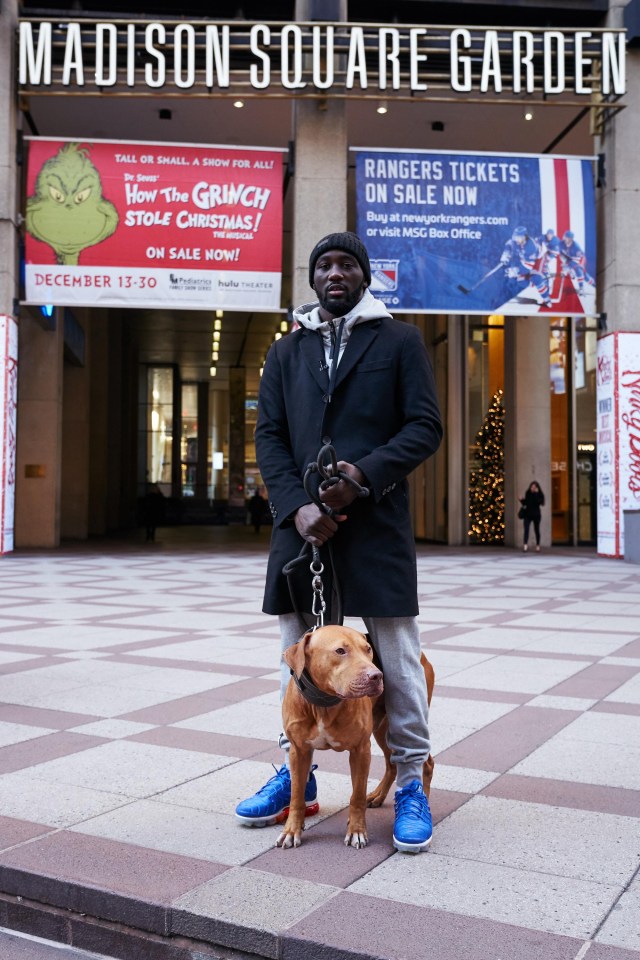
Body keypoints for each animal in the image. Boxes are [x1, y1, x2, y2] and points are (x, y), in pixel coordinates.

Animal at [278, 628, 436, 852]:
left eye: (368, 649)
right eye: (340, 651)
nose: (377, 676)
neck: (324, 704)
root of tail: (421, 654)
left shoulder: (360, 750)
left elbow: (357, 795)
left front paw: (357, 831)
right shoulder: (298, 751)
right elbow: (296, 795)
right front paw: (292, 830)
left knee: (425, 762)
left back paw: (423, 805)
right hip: (382, 728)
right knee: (391, 764)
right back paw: (378, 795)